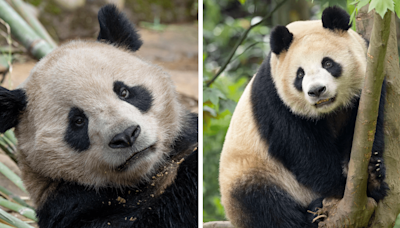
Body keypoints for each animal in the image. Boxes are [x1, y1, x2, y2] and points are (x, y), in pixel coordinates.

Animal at [219, 6, 388, 227]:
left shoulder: (370, 83)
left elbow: (365, 130)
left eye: (328, 63)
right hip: (254, 173)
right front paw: (342, 186)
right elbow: (304, 150)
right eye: (300, 74)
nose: (317, 90)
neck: (328, 111)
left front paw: (371, 176)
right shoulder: (275, 99)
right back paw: (312, 214)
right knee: (266, 207)